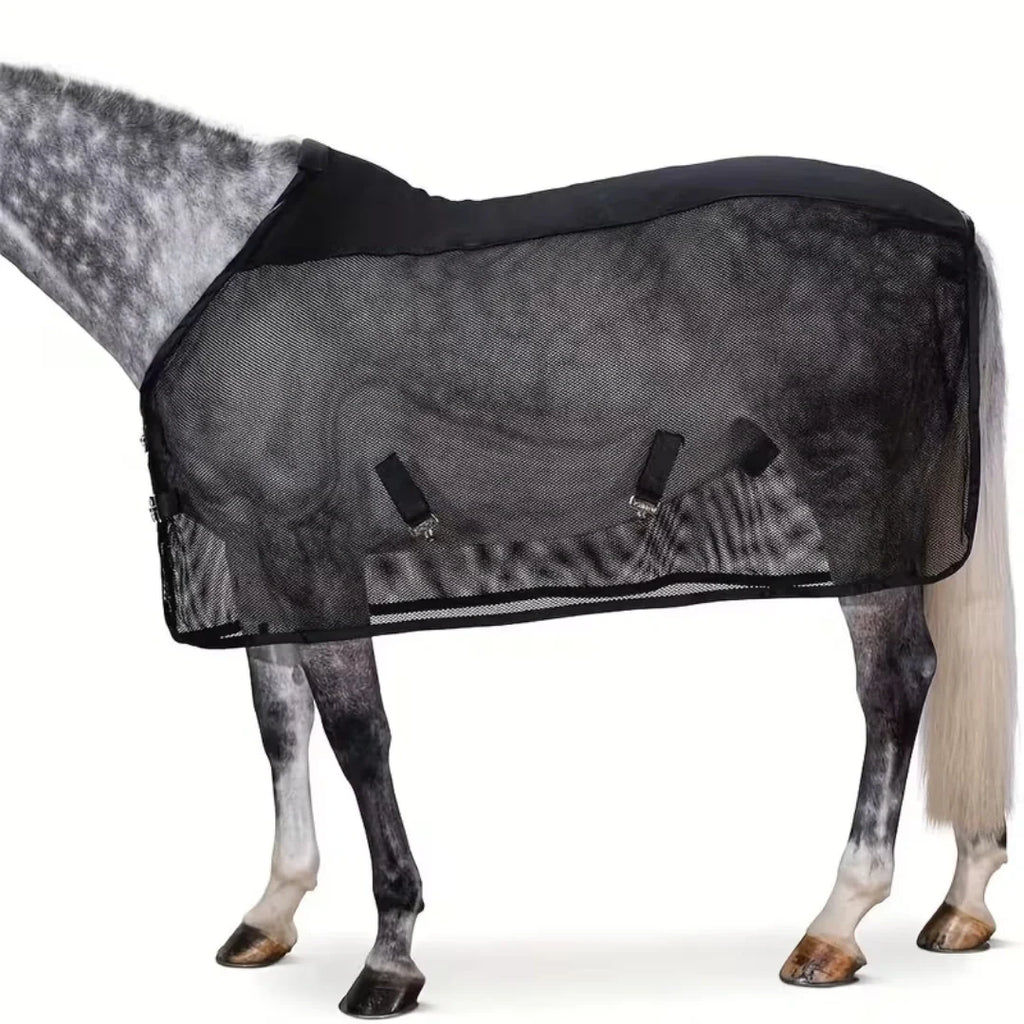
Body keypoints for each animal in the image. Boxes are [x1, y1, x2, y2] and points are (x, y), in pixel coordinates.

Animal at [0, 64, 1015, 1017]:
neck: (200, 252)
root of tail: (951, 229)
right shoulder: (256, 555)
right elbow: (279, 723)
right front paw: (272, 911)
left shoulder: (312, 547)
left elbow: (358, 733)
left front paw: (390, 956)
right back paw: (961, 902)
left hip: (858, 488)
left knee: (895, 680)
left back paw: (837, 923)